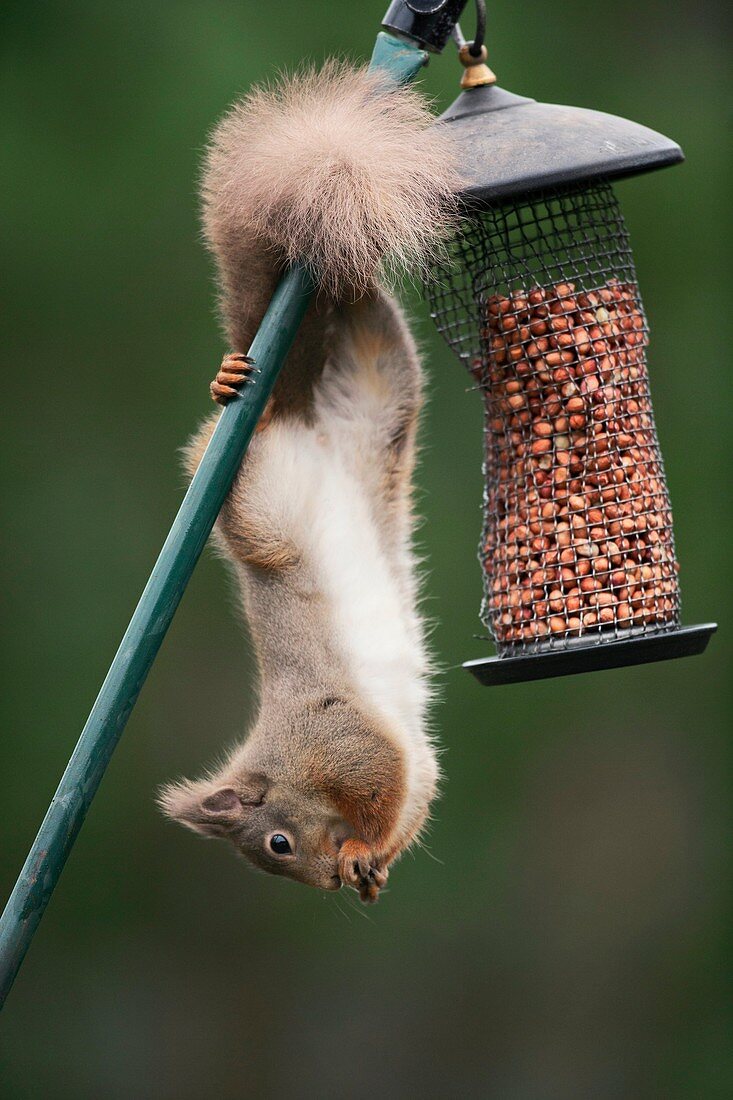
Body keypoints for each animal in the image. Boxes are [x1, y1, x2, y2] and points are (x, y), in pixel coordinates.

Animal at [159, 62, 457, 902]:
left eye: (278, 844)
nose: (324, 884)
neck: (289, 761)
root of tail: (298, 423)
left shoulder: (342, 738)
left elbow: (386, 789)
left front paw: (362, 849)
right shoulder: (402, 755)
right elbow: (414, 794)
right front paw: (373, 866)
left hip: (265, 501)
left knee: (227, 456)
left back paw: (230, 396)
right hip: (376, 394)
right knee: (364, 317)